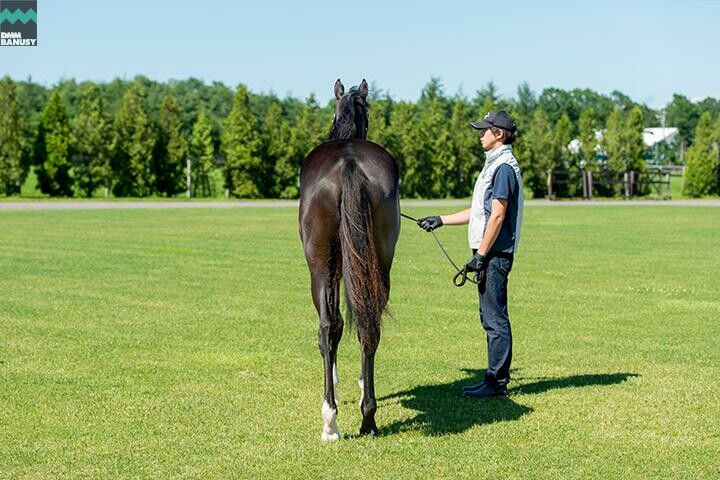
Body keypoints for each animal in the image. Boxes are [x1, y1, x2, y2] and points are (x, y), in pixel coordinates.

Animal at [296, 79, 400, 442]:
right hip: (379, 265)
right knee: (370, 325)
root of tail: (348, 164)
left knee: (328, 328)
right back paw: (368, 416)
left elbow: (333, 327)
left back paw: (330, 421)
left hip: (320, 268)